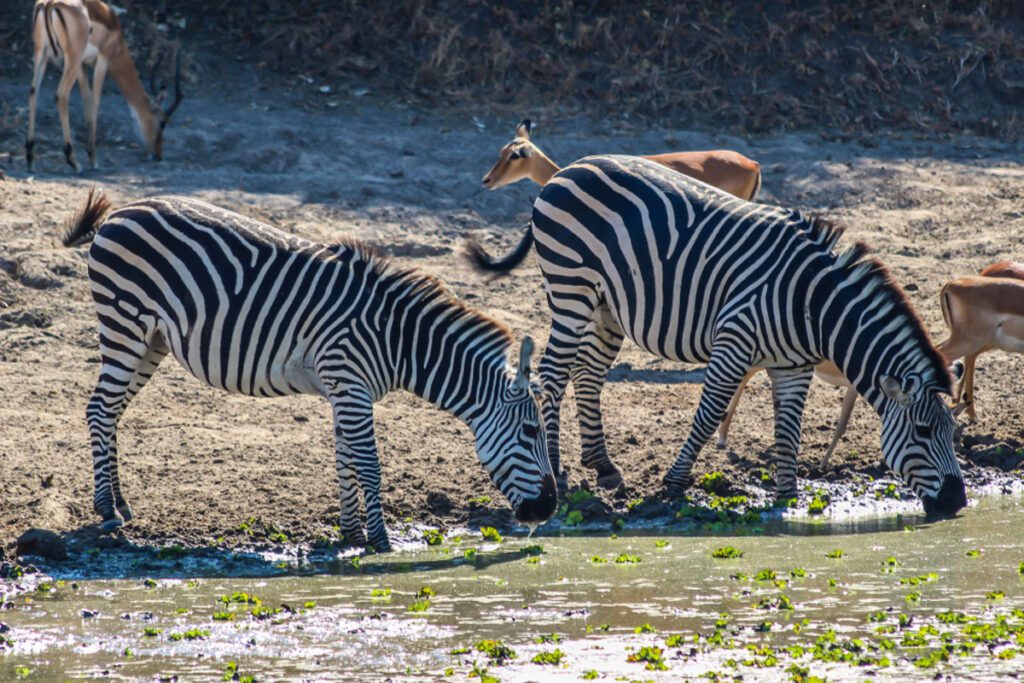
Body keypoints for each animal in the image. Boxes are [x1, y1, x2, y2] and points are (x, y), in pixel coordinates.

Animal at [62, 190, 557, 552]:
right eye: (531, 432)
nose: (550, 509)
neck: (401, 341)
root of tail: (120, 212)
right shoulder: (352, 385)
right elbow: (369, 465)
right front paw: (381, 542)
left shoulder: (344, 390)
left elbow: (345, 461)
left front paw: (351, 534)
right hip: (125, 326)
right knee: (99, 411)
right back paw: (106, 509)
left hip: (152, 342)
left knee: (112, 414)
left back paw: (121, 503)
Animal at [466, 155, 967, 516]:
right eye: (924, 431)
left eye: (952, 432)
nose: (957, 502)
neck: (813, 304)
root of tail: (566, 170)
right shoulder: (734, 343)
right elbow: (707, 416)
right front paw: (673, 482)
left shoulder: (794, 367)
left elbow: (790, 428)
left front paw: (788, 496)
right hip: (571, 291)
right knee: (553, 375)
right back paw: (557, 464)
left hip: (607, 307)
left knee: (588, 375)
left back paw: (604, 467)